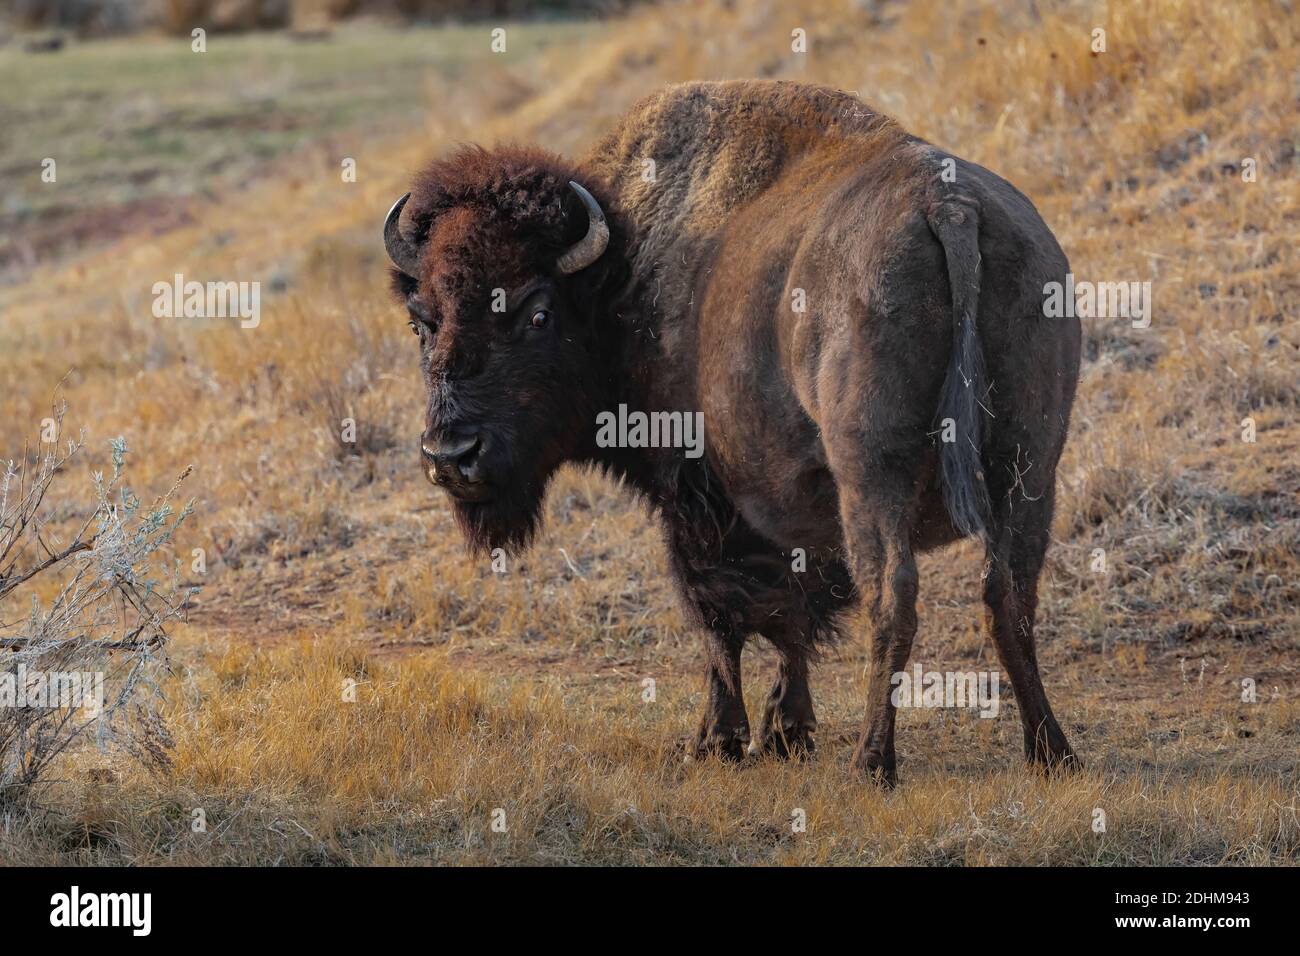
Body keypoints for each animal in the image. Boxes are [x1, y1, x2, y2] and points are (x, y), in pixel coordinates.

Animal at [384, 80, 1080, 785]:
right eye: (421, 321)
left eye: (537, 313)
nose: (451, 456)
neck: (624, 276)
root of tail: (948, 208)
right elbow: (792, 614)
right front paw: (785, 730)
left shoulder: (695, 496)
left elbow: (720, 614)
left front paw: (719, 738)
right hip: (1030, 468)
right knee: (1008, 595)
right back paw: (1050, 751)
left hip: (873, 475)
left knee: (894, 596)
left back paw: (871, 763)